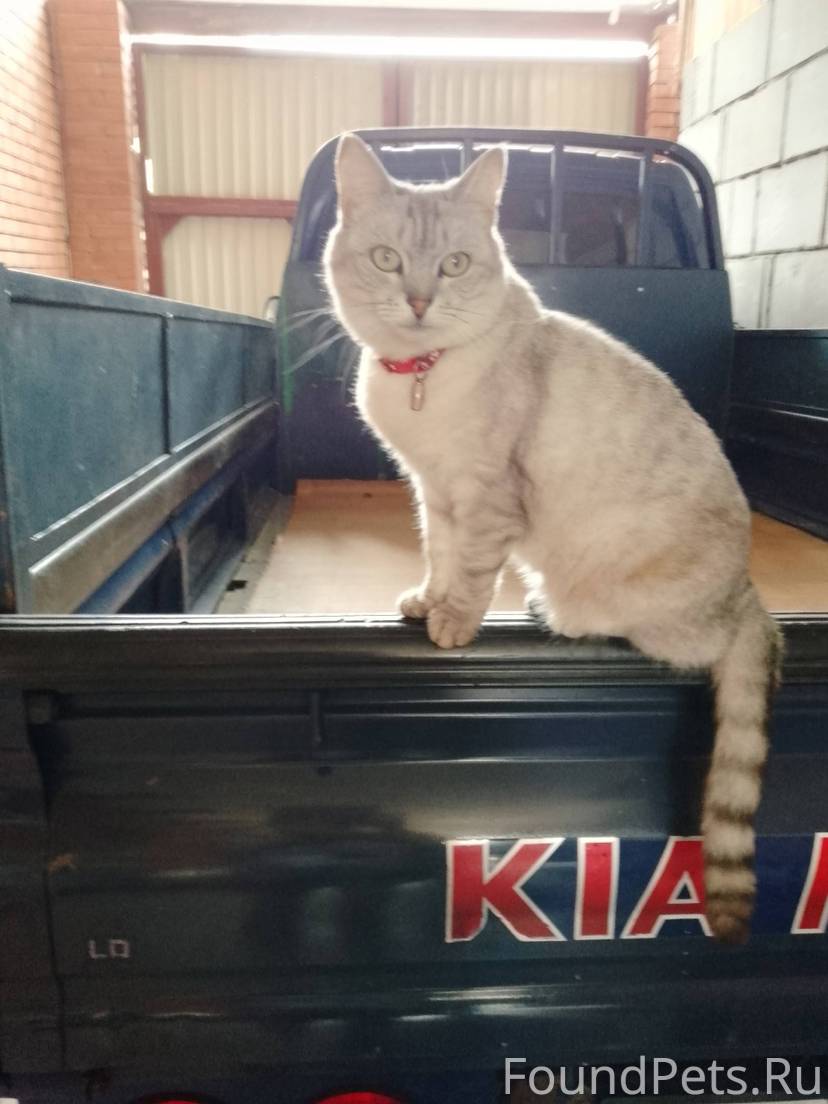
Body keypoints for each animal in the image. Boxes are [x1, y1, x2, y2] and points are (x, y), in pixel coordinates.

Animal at [323, 132, 782, 944]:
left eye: (454, 264)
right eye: (386, 259)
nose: (419, 301)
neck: (421, 379)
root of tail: (749, 594)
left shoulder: (487, 496)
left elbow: (473, 571)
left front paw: (454, 625)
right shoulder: (432, 492)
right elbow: (439, 554)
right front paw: (425, 602)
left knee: (696, 645)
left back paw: (563, 616)